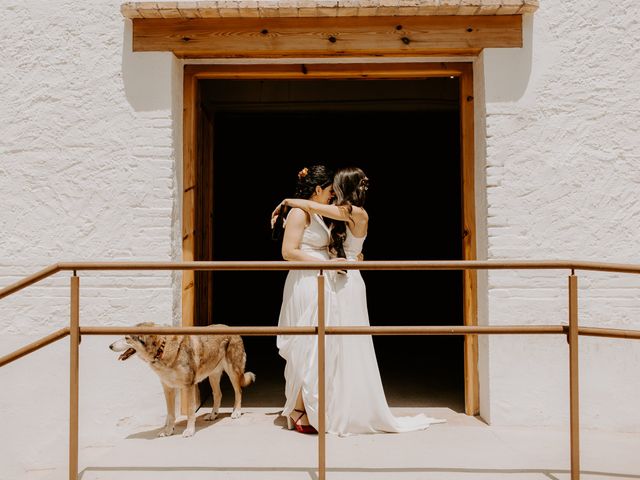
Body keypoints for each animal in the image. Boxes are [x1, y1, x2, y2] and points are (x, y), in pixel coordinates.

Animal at [109, 324, 254, 436]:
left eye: (127, 338)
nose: (110, 346)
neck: (162, 349)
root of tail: (231, 328)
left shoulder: (188, 386)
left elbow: (190, 411)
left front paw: (189, 431)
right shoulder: (168, 388)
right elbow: (170, 414)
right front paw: (168, 431)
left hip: (233, 372)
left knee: (239, 391)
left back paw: (236, 412)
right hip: (213, 375)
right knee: (218, 394)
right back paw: (213, 415)